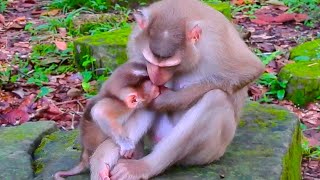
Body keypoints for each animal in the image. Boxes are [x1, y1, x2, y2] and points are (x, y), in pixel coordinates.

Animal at [90, 0, 264, 179]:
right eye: (149, 61)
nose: (155, 77)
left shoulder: (217, 40)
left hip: (211, 151)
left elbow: (249, 70)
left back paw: (143, 166)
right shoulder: (135, 41)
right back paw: (104, 159)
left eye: (170, 65)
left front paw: (166, 100)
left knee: (215, 98)